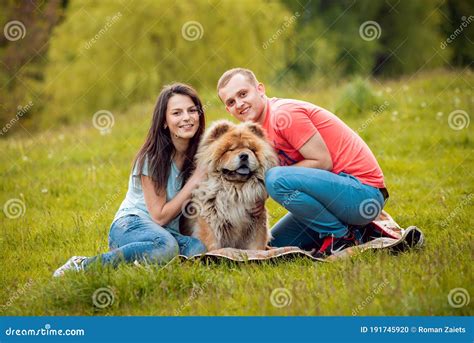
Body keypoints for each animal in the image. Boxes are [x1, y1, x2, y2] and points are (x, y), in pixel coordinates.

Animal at [182, 119, 278, 251]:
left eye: (251, 149)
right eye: (230, 150)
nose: (244, 155)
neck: (235, 190)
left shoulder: (257, 222)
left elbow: (256, 247)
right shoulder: (209, 222)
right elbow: (212, 246)